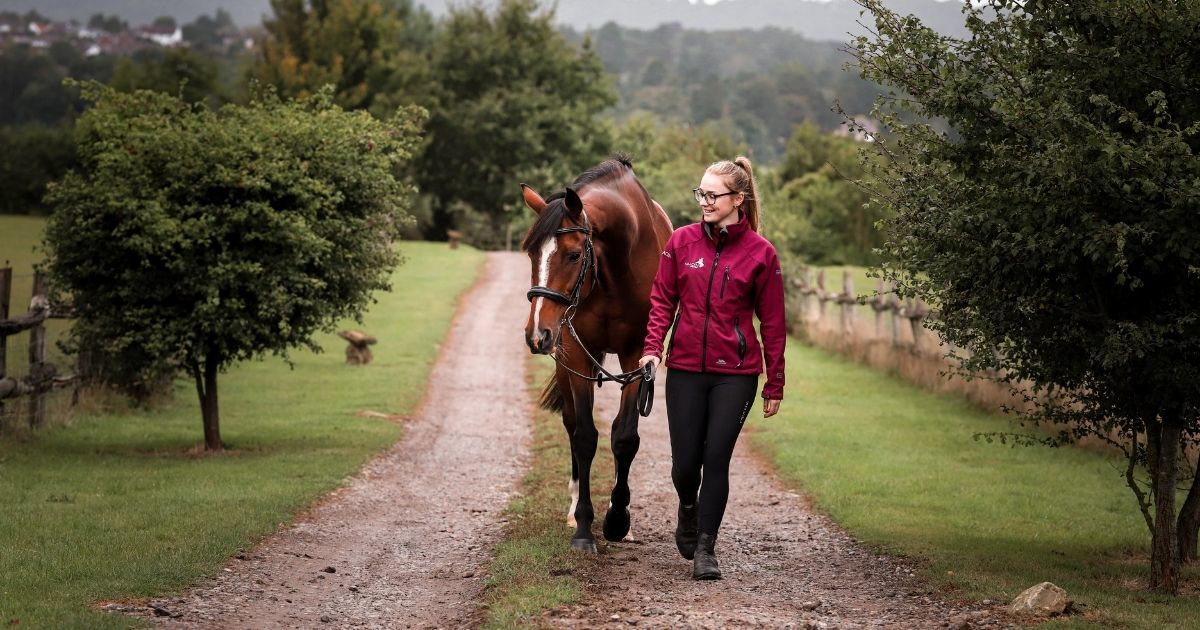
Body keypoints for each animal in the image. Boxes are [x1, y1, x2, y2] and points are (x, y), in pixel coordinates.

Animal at [521, 155, 673, 552]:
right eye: (531, 254)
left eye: (574, 255)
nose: (537, 334)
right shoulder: (575, 353)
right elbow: (585, 436)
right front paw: (584, 526)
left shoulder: (637, 357)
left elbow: (625, 437)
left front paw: (618, 519)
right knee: (572, 423)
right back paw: (574, 506)